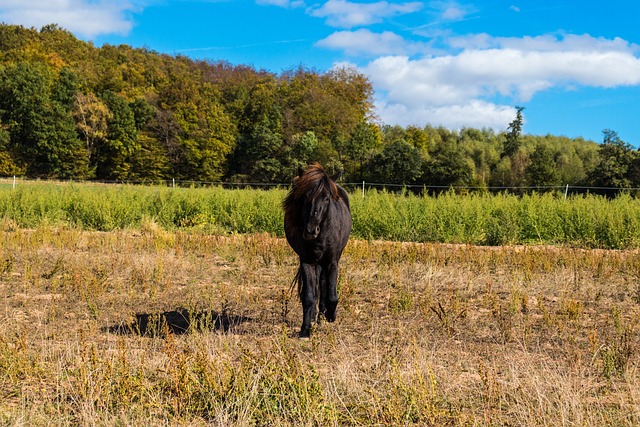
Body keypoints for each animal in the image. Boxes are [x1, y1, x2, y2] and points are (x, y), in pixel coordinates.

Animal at [284, 163, 352, 338]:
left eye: (327, 198)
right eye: (305, 197)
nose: (310, 231)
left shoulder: (332, 262)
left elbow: (332, 296)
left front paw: (330, 316)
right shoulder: (307, 261)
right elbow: (308, 296)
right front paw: (305, 329)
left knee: (323, 285)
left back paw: (322, 315)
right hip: (316, 262)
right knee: (316, 287)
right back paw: (315, 316)